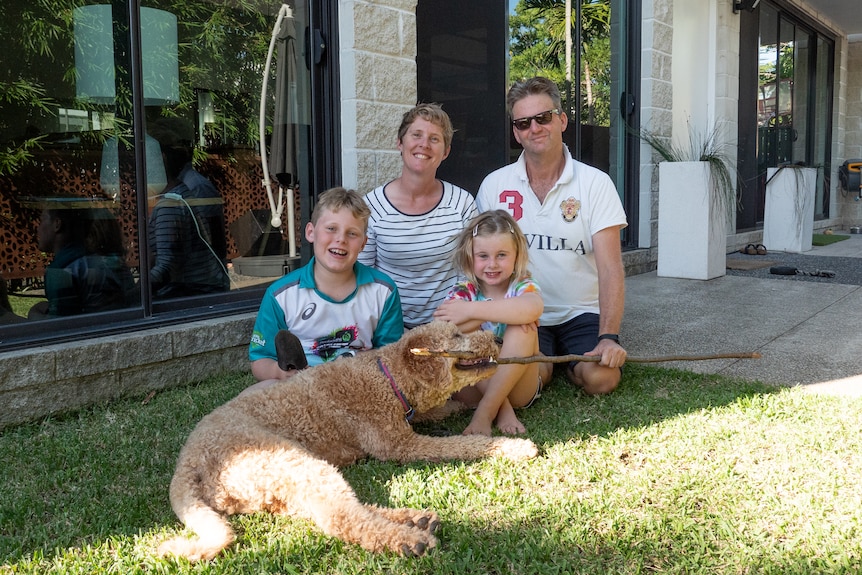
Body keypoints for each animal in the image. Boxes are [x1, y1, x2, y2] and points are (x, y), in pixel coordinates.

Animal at [158, 322, 536, 560]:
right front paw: (512, 447)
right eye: (457, 334)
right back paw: (410, 539)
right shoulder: (401, 445)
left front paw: (459, 405)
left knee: (335, 509)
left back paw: (415, 520)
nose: (498, 341)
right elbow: (462, 444)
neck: (386, 374)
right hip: (294, 463)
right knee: (341, 517)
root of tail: (187, 461)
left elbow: (436, 411)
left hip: (282, 486)